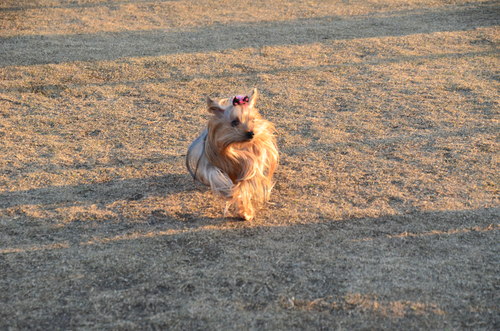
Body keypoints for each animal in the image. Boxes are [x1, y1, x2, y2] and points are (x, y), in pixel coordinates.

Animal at [187, 89, 280, 222]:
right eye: (234, 122)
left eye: (252, 120)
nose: (251, 133)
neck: (236, 146)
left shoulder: (251, 166)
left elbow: (244, 186)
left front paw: (245, 213)